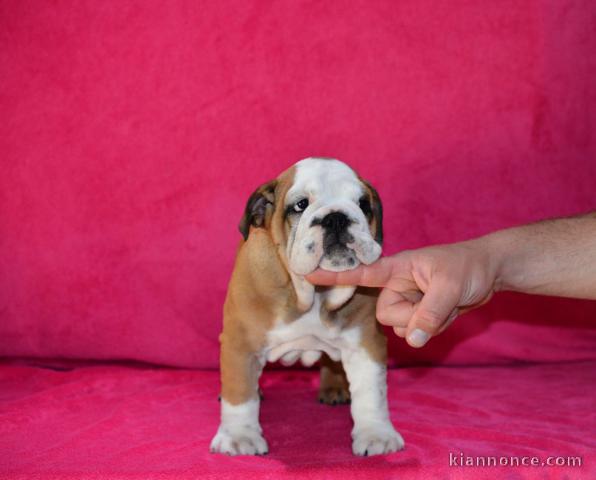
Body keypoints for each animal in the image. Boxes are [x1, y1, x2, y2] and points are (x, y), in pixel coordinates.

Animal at [211, 158, 406, 458]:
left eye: (363, 204)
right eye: (300, 205)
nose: (336, 217)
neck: (313, 293)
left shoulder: (366, 342)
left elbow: (371, 393)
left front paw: (376, 434)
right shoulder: (241, 342)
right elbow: (241, 393)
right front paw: (239, 437)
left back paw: (335, 387)